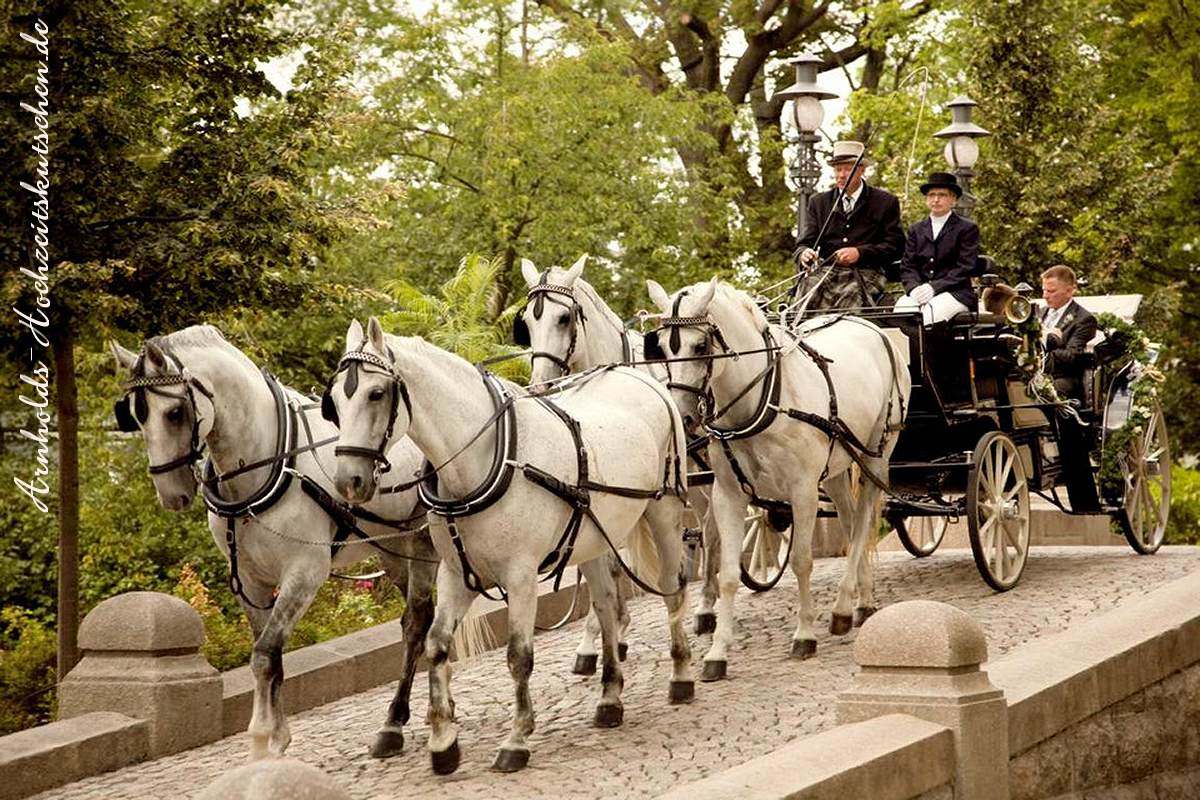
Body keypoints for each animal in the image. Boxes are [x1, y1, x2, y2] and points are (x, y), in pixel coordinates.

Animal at [110, 326, 439, 762]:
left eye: (174, 413)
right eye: (135, 414)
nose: (171, 494)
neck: (268, 461)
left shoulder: (304, 573)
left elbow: (265, 652)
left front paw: (262, 738)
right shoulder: (250, 582)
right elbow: (269, 654)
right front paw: (278, 736)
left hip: (422, 544)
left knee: (418, 622)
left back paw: (397, 721)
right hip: (393, 549)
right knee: (414, 621)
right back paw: (397, 722)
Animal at [328, 316, 696, 777]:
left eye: (376, 393)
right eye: (334, 401)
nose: (349, 481)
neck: (486, 460)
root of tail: (637, 377)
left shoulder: (520, 577)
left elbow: (519, 656)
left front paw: (516, 739)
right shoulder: (457, 574)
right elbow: (436, 644)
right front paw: (443, 742)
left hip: (664, 512)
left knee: (673, 589)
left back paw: (682, 675)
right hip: (593, 537)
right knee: (607, 605)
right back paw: (610, 697)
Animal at [516, 256, 720, 638]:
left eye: (564, 318)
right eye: (526, 324)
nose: (540, 385)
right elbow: (606, 558)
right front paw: (608, 627)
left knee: (715, 524)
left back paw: (709, 603)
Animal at [648, 280, 907, 676]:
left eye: (701, 346)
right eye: (661, 346)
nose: (682, 416)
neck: (761, 399)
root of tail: (869, 325)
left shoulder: (803, 491)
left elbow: (801, 561)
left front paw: (804, 635)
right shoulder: (728, 495)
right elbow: (727, 574)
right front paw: (718, 652)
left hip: (876, 456)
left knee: (863, 523)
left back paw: (843, 607)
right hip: (834, 468)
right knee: (850, 523)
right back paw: (860, 602)